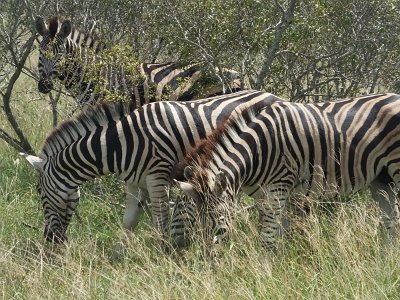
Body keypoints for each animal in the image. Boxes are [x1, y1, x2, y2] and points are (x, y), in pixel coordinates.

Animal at [19, 90, 282, 243]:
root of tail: (275, 96)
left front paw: (162, 255)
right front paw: (119, 256)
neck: (120, 144)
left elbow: (160, 222)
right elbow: (129, 222)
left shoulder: (157, 178)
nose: (50, 239)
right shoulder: (136, 184)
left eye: (39, 192)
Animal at [173, 92, 400, 250]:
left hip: (396, 169)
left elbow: (268, 237)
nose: (208, 260)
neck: (256, 150)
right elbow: (277, 233)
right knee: (391, 221)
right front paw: (281, 268)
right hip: (382, 179)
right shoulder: (264, 196)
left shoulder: (278, 188)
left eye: (218, 222)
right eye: (197, 223)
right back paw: (385, 261)